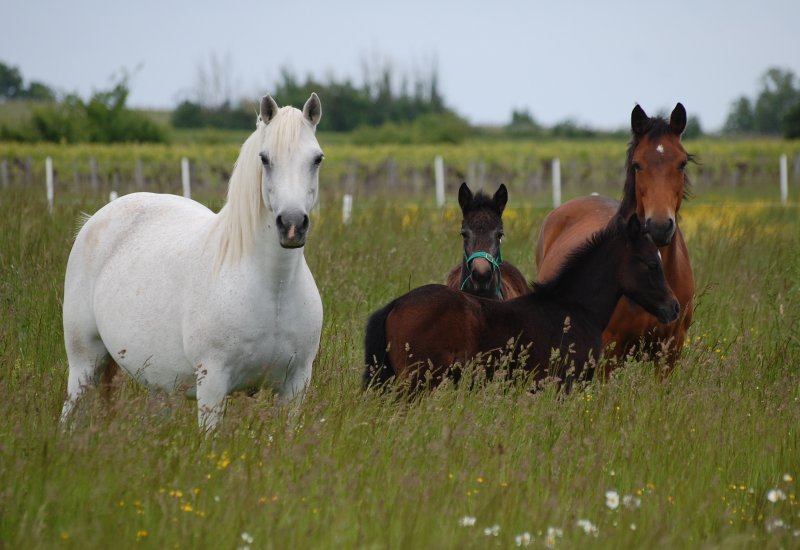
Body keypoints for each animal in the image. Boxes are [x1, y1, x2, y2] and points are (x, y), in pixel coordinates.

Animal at [61, 94, 326, 432]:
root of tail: (95, 220)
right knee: (70, 410)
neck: (273, 288)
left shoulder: (296, 386)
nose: (292, 225)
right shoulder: (212, 384)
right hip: (84, 361)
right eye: (265, 159)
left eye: (317, 159)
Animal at [366, 213, 680, 394]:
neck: (574, 309)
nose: (673, 307)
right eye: (652, 264)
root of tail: (395, 304)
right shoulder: (564, 385)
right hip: (416, 383)